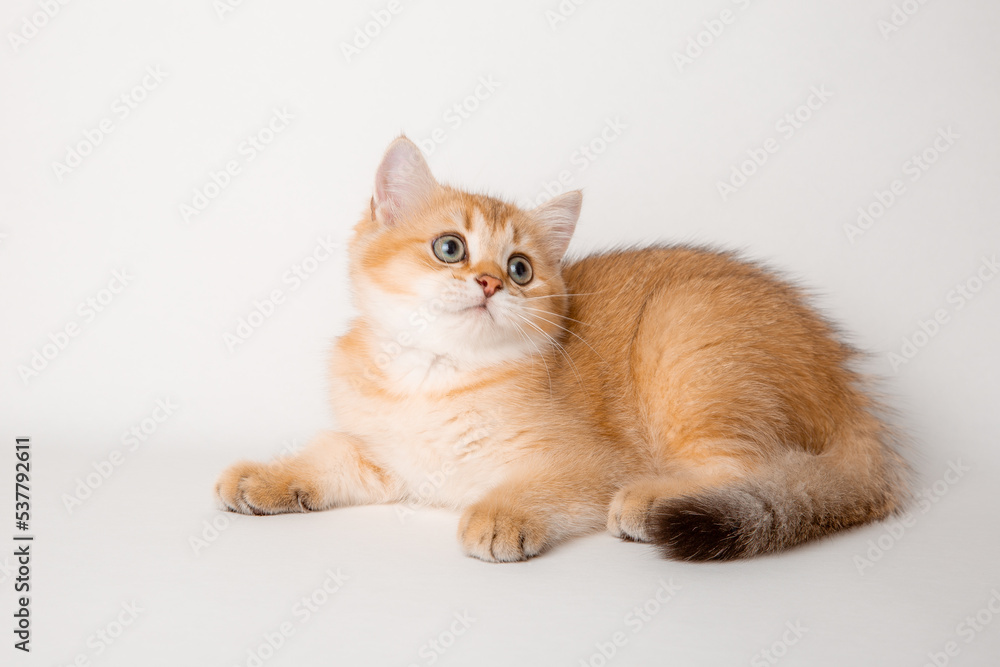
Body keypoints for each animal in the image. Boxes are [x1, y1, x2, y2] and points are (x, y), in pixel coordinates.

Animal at [215, 137, 912, 564]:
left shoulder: (589, 461)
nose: (490, 282)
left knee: (750, 465)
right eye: (450, 248)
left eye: (521, 268)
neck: (432, 377)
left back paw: (652, 500)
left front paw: (501, 514)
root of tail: (849, 388)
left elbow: (544, 486)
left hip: (685, 338)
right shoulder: (383, 455)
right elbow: (328, 459)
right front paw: (265, 476)